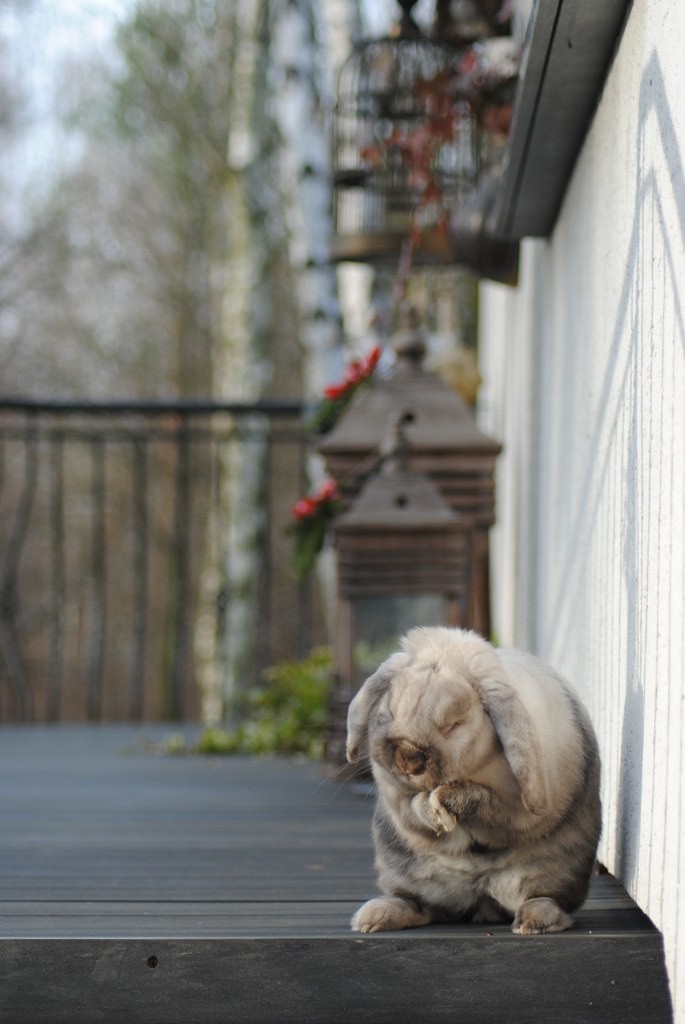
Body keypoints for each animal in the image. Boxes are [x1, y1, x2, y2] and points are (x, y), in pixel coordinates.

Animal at [348, 622, 597, 937]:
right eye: (389, 711)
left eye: (454, 724)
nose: (407, 759)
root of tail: (480, 900)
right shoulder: (396, 795)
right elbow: (412, 806)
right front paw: (433, 812)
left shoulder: (516, 808)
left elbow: (492, 804)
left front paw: (447, 799)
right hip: (401, 867)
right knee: (422, 905)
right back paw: (374, 918)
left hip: (557, 869)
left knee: (549, 900)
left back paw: (533, 922)